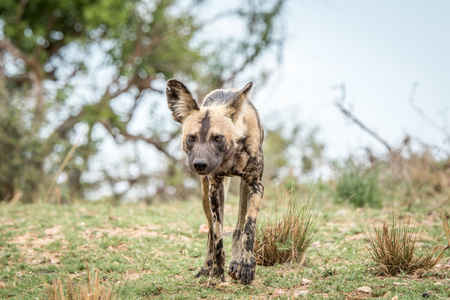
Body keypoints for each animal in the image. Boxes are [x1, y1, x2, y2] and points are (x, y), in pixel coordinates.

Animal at [165, 78, 264, 284]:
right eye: (191, 138)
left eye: (217, 138)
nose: (200, 164)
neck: (230, 156)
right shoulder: (215, 187)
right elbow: (217, 236)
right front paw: (217, 271)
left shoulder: (256, 184)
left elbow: (249, 228)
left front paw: (246, 266)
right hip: (206, 193)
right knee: (210, 231)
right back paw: (207, 267)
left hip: (244, 187)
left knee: (239, 227)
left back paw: (236, 263)